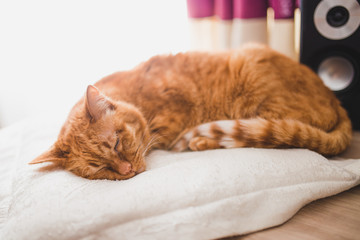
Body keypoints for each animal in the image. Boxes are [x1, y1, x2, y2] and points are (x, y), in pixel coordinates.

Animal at [30, 44, 352, 180]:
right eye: (99, 169)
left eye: (118, 144)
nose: (126, 171)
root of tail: (335, 99)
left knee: (266, 136)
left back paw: (199, 141)